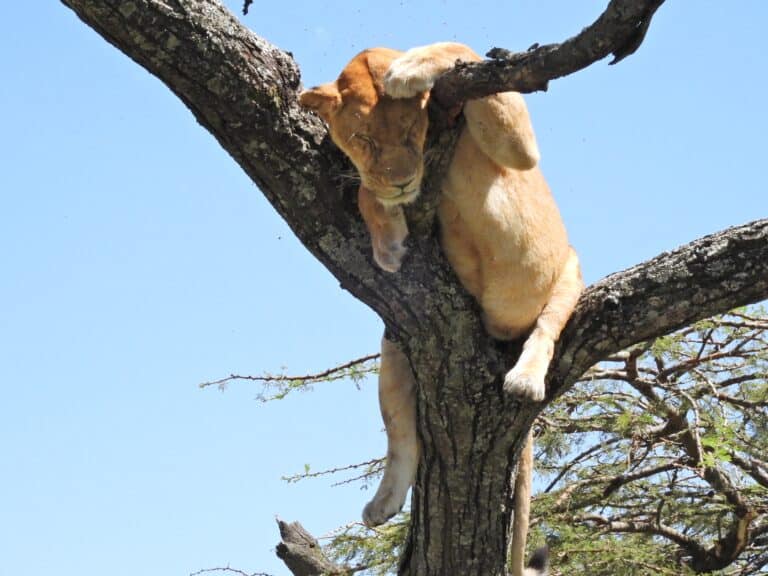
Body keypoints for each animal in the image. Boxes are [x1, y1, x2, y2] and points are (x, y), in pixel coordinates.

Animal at [300, 42, 582, 576]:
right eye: (363, 137)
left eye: (413, 129)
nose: (401, 181)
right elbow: (366, 189)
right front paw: (387, 243)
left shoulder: (517, 148)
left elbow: (462, 51)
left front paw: (406, 69)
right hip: (397, 341)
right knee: (401, 432)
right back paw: (383, 503)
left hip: (571, 271)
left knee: (547, 329)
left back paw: (525, 378)